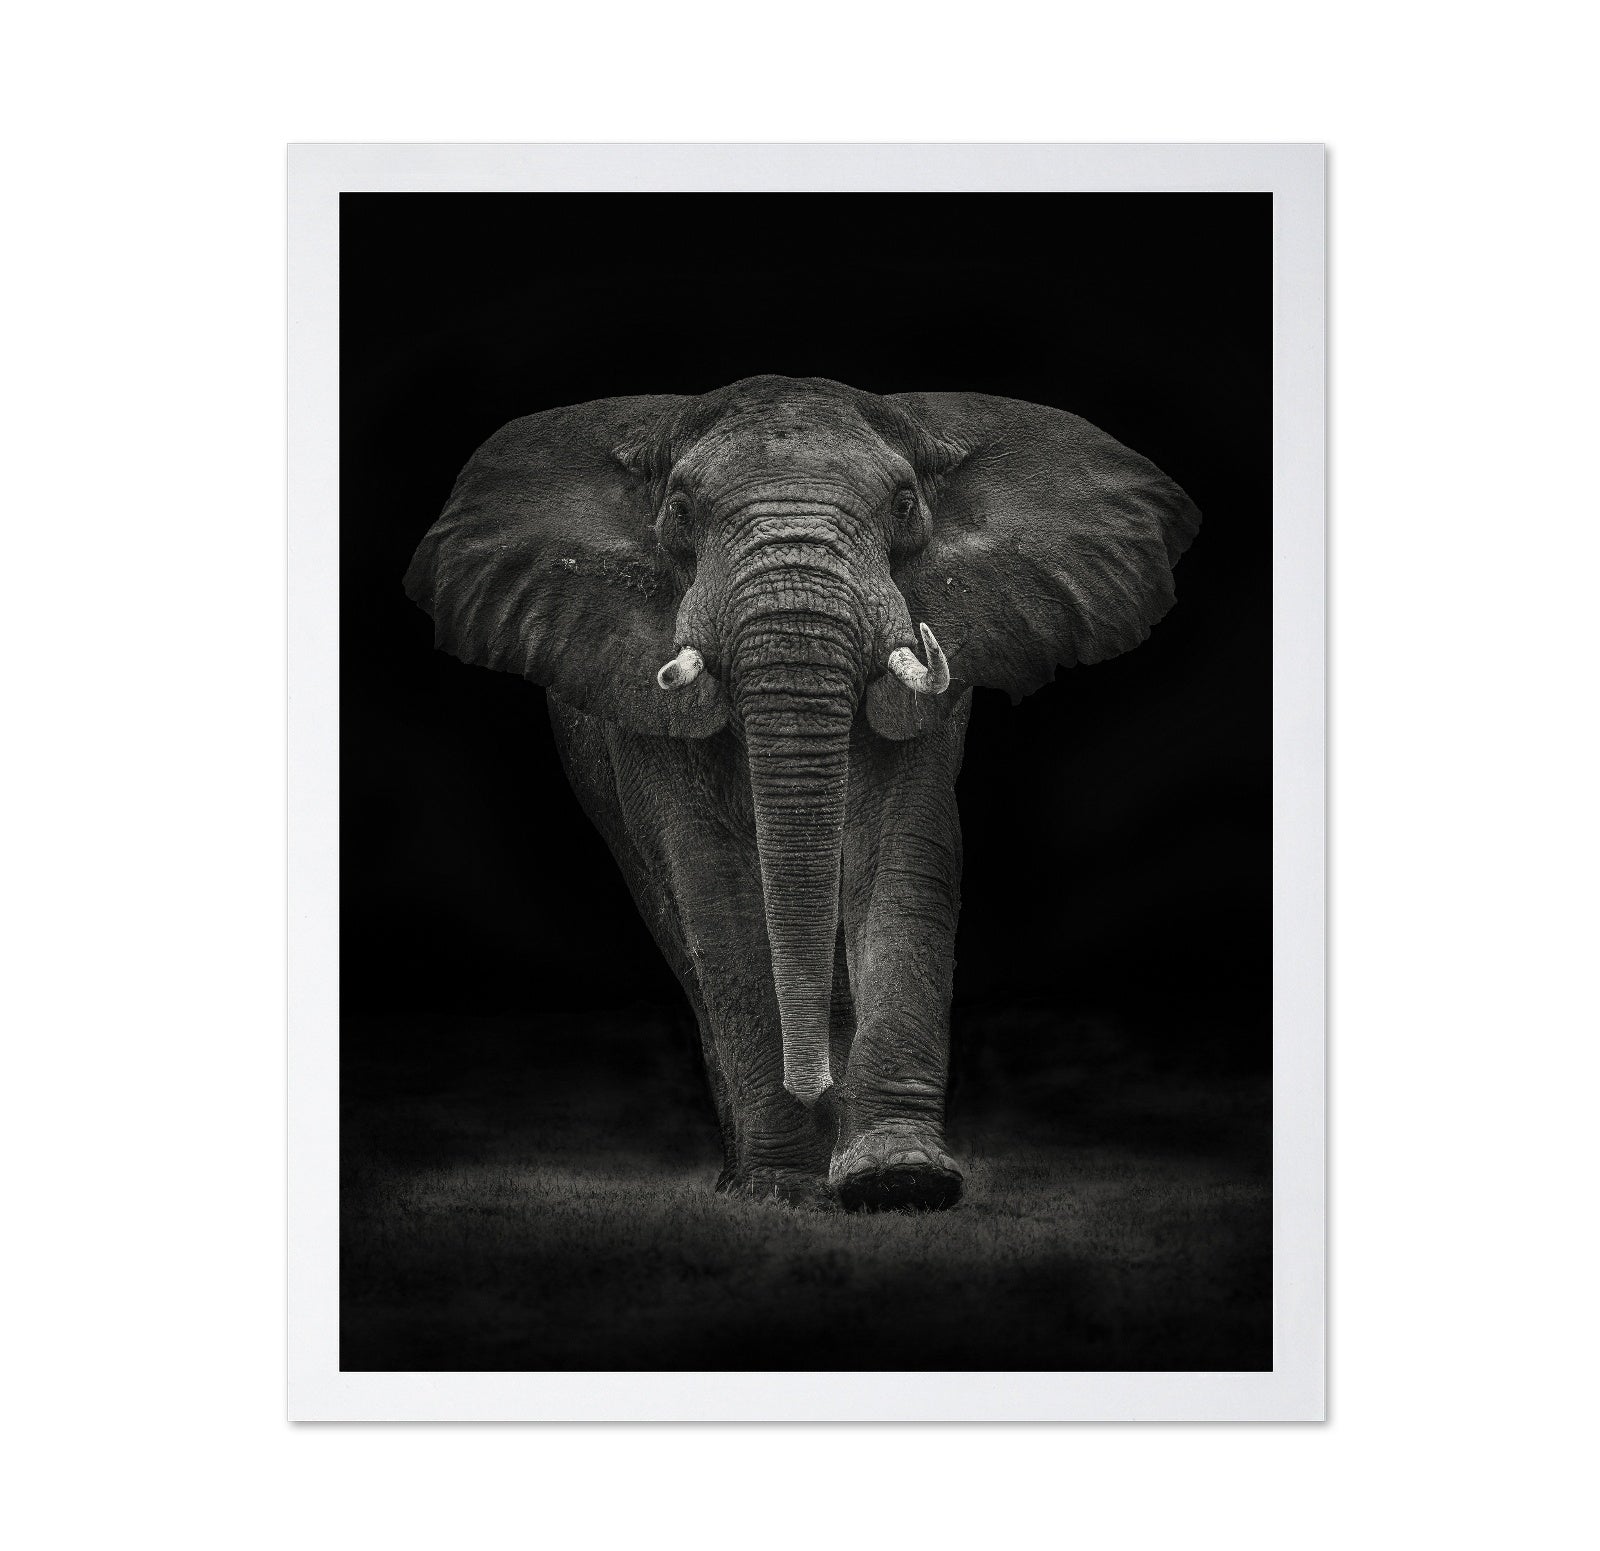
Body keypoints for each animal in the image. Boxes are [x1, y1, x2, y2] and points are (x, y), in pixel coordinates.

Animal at [404, 375, 1199, 1211]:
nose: (811, 1082)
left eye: (905, 502)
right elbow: (713, 886)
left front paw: (899, 1179)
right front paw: (783, 1188)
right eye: (679, 508)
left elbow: (901, 852)